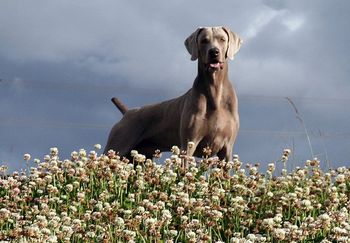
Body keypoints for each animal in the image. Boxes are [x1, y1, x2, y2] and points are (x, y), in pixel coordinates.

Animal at [103, 26, 241, 161]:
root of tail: (127, 112)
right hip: (117, 145)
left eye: (222, 39)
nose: (214, 52)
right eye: (204, 41)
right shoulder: (189, 144)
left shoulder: (227, 149)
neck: (215, 90)